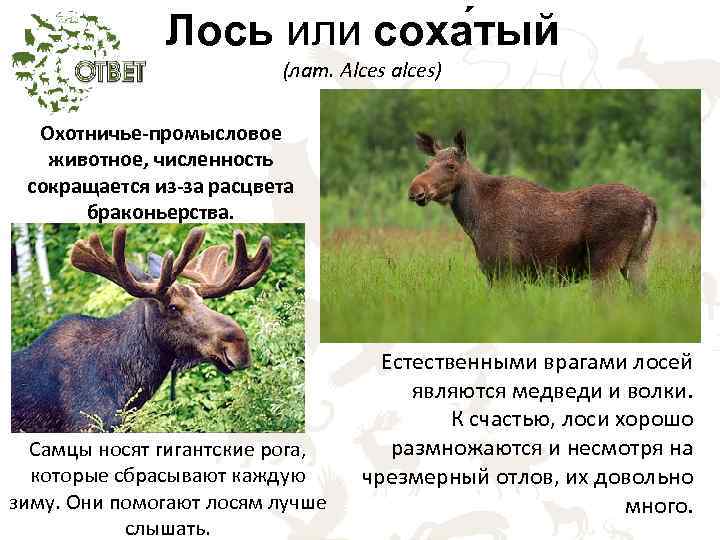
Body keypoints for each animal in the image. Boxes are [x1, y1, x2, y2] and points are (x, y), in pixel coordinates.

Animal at [408, 129, 657, 291]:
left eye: (451, 166)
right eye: (427, 165)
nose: (415, 189)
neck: (472, 220)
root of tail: (650, 205)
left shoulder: (505, 270)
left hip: (605, 263)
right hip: (637, 259)